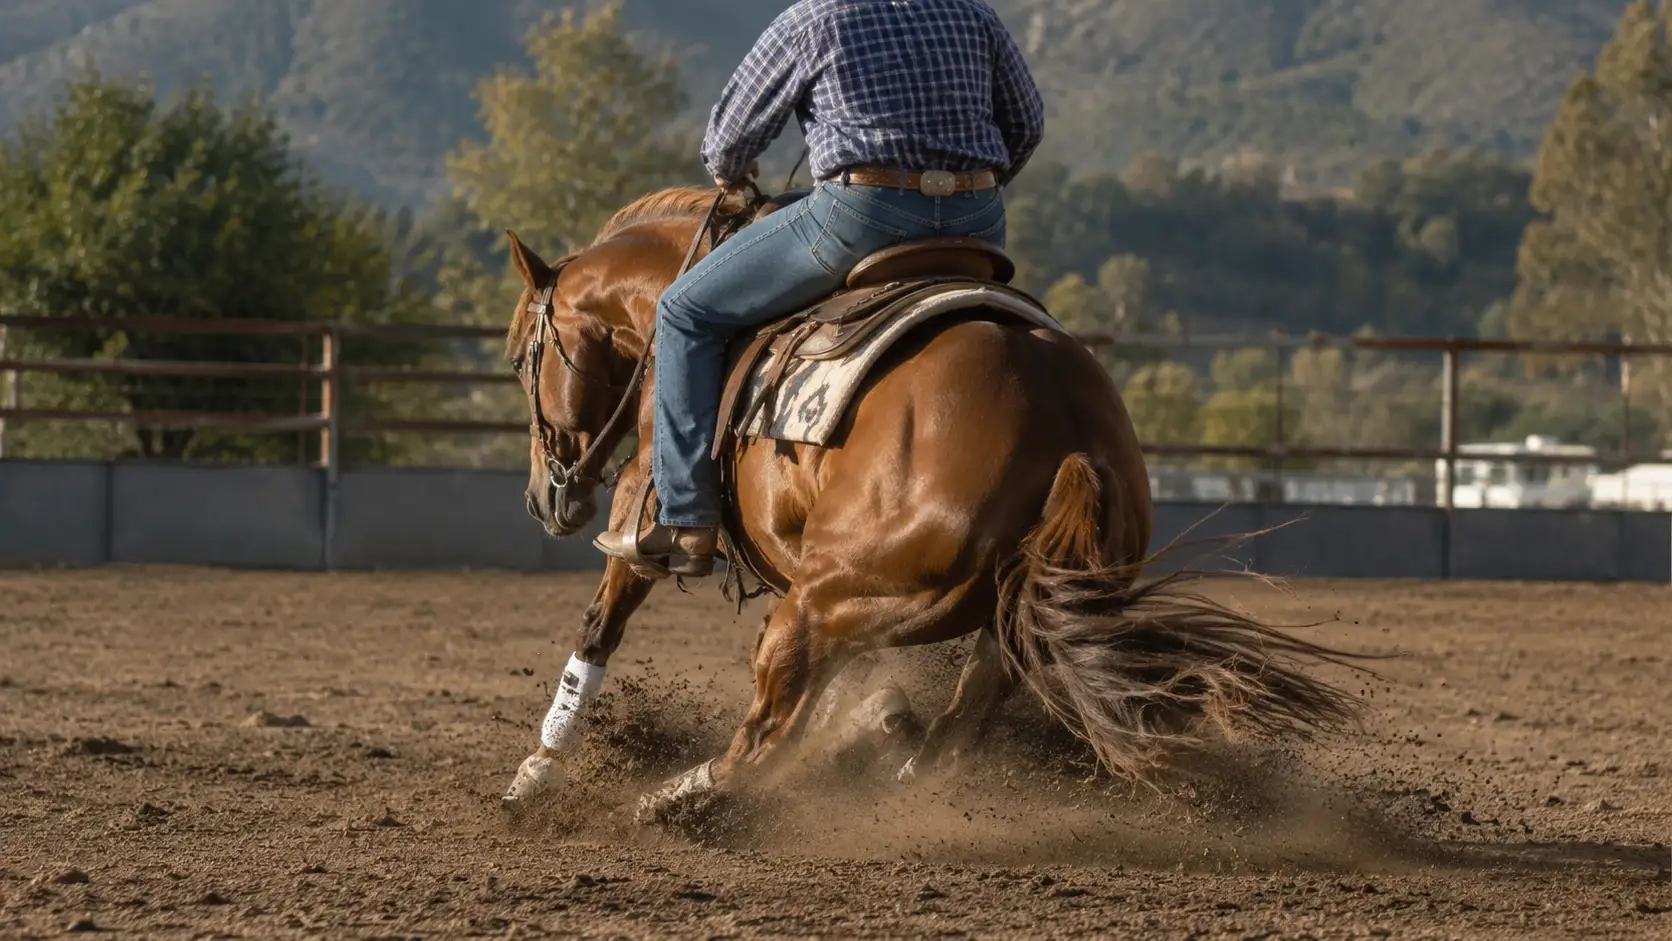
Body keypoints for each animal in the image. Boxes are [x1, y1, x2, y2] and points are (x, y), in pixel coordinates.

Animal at [497, 185, 1367, 822]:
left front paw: (537, 769)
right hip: (992, 623)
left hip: (827, 600)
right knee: (944, 737)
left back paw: (663, 803)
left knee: (764, 740)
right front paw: (874, 719)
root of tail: (1066, 432)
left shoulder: (640, 515)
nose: (544, 498)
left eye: (519, 359)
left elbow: (602, 621)